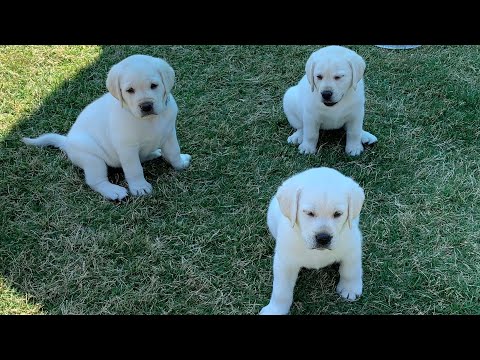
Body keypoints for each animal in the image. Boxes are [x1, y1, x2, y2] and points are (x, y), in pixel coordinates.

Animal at [23, 54, 191, 200]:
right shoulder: (127, 148)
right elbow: (134, 169)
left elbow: (174, 152)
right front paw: (140, 187)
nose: (146, 106)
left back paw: (153, 153)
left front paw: (180, 163)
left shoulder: (169, 134)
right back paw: (113, 191)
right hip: (92, 159)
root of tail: (67, 141)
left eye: (154, 85)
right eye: (130, 90)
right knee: (95, 181)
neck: (149, 121)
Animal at [260, 167, 366, 314]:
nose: (323, 238)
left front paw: (350, 288)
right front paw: (275, 310)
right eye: (309, 213)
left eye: (338, 214)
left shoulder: (353, 246)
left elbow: (351, 270)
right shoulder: (285, 262)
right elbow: (281, 291)